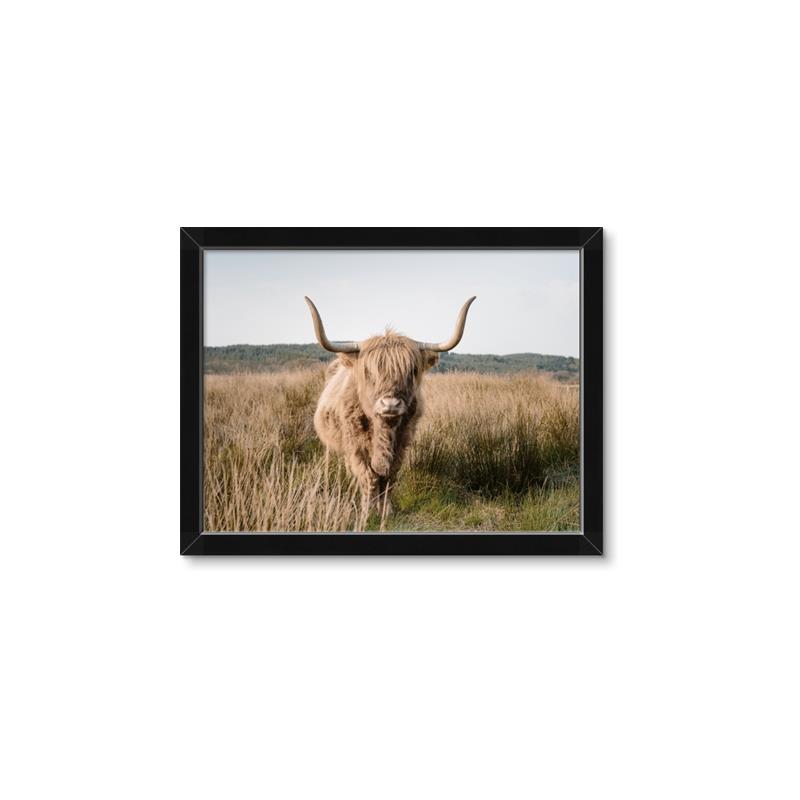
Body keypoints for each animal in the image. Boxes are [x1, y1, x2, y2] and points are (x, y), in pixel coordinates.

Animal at [304, 295, 476, 514]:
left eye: (412, 370)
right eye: (368, 372)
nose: (390, 404)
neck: (383, 431)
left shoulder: (402, 443)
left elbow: (389, 476)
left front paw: (386, 511)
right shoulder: (356, 445)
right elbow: (369, 475)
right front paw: (368, 511)